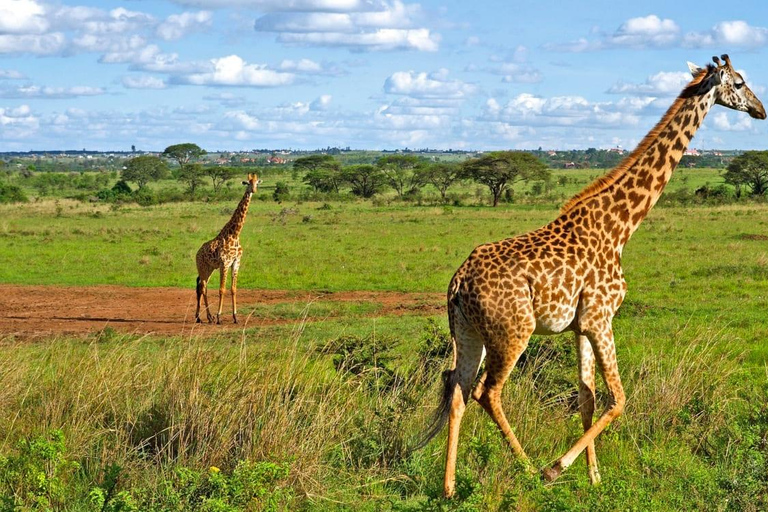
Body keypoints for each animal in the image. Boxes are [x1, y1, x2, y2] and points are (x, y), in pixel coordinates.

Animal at [195, 173, 260, 324]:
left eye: (257, 183)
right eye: (248, 183)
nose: (253, 190)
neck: (235, 235)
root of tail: (197, 253)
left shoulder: (236, 262)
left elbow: (233, 289)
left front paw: (235, 317)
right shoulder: (224, 263)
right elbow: (221, 289)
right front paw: (219, 316)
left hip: (210, 268)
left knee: (202, 287)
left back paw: (204, 317)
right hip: (202, 267)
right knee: (202, 288)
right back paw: (205, 317)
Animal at [424, 55, 764, 496]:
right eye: (739, 83)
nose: (760, 110)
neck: (620, 226)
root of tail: (459, 281)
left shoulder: (581, 325)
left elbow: (587, 396)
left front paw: (594, 477)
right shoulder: (601, 318)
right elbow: (618, 399)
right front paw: (558, 468)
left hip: (468, 333)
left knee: (458, 390)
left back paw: (448, 487)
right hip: (512, 331)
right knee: (488, 391)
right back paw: (528, 468)